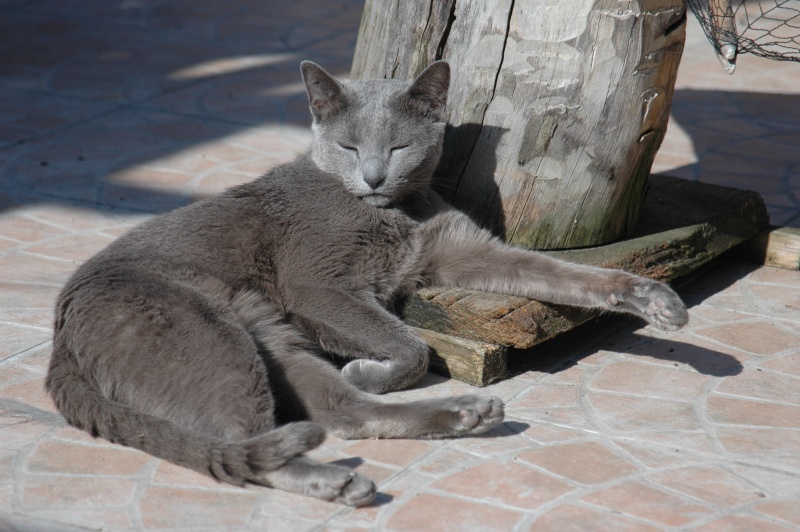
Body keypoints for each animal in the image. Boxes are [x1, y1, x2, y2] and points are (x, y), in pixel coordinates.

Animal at [43, 60, 688, 504]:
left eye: (400, 146)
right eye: (349, 147)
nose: (375, 176)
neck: (394, 213)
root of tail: (60, 342)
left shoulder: (465, 250)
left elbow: (563, 274)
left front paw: (655, 301)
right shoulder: (316, 286)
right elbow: (414, 345)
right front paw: (372, 367)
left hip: (270, 336)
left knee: (342, 416)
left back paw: (462, 417)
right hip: (209, 331)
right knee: (242, 447)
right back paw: (339, 480)